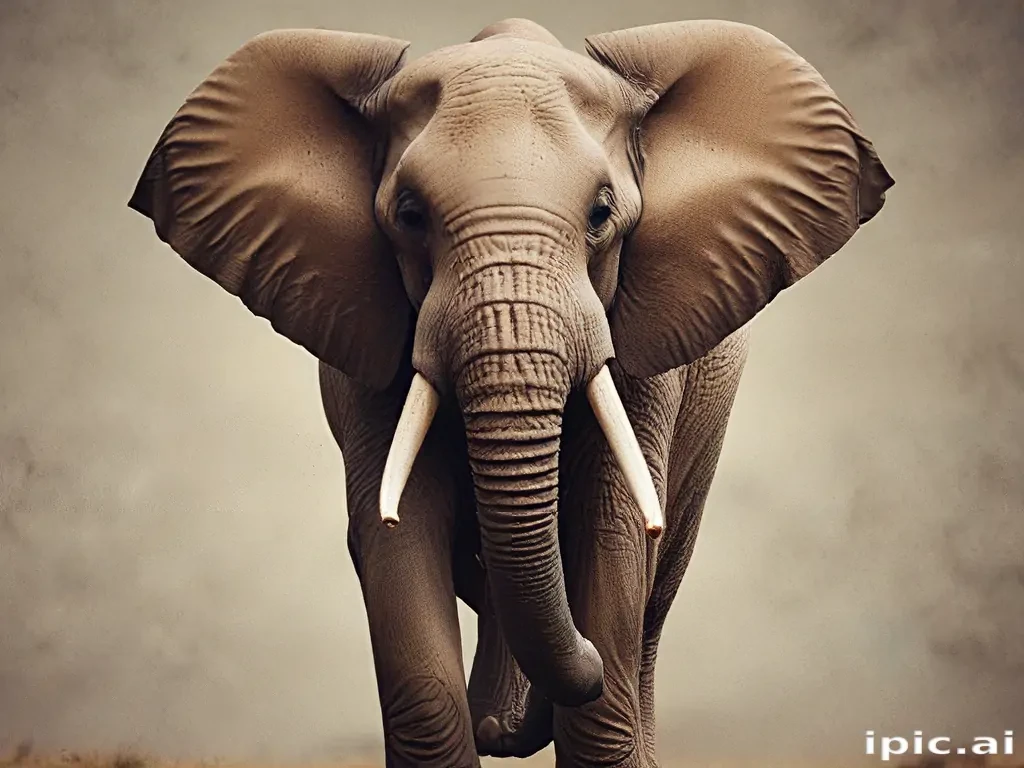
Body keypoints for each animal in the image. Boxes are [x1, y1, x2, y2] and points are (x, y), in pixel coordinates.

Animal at [127, 16, 893, 768]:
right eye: (409, 214)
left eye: (601, 213)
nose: (580, 666)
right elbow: (398, 534)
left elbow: (612, 526)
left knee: (651, 611)